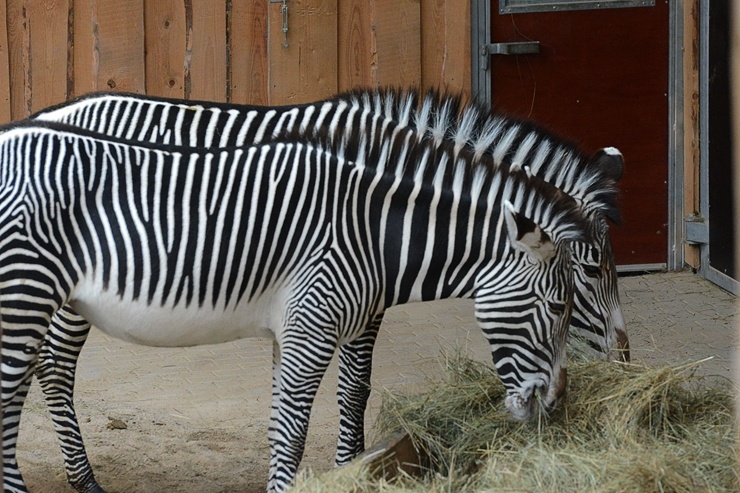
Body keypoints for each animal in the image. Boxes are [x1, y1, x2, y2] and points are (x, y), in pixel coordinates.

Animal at [28, 89, 628, 492]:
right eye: (588, 272)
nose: (625, 359)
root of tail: (46, 113)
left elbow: (347, 389)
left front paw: (354, 462)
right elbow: (352, 388)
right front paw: (350, 463)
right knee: (54, 367)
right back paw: (84, 479)